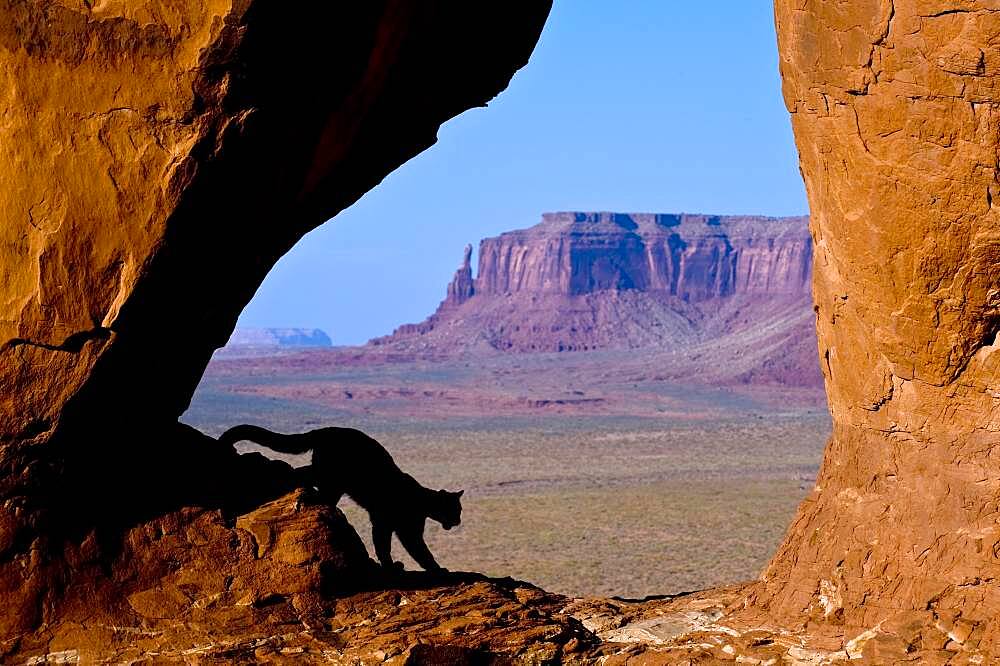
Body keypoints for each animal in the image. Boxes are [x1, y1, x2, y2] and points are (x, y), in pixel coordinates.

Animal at [219, 426, 460, 572]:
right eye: (455, 510)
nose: (458, 521)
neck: (422, 500)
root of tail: (325, 430)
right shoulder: (397, 526)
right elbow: (412, 550)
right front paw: (432, 568)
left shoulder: (387, 523)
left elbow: (387, 544)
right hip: (333, 476)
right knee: (307, 476)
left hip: (331, 478)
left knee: (304, 472)